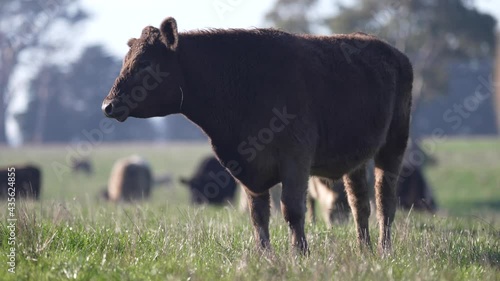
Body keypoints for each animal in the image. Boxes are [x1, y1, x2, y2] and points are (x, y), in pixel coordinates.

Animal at [100, 17, 410, 254]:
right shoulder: (247, 166)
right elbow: (258, 215)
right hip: (357, 160)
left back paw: (384, 250)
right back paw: (364, 250)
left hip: (393, 146)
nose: (108, 105)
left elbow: (292, 210)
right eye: (126, 61)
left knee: (385, 201)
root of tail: (393, 52)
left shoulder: (296, 158)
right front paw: (265, 255)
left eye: (144, 64)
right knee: (360, 205)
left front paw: (299, 254)